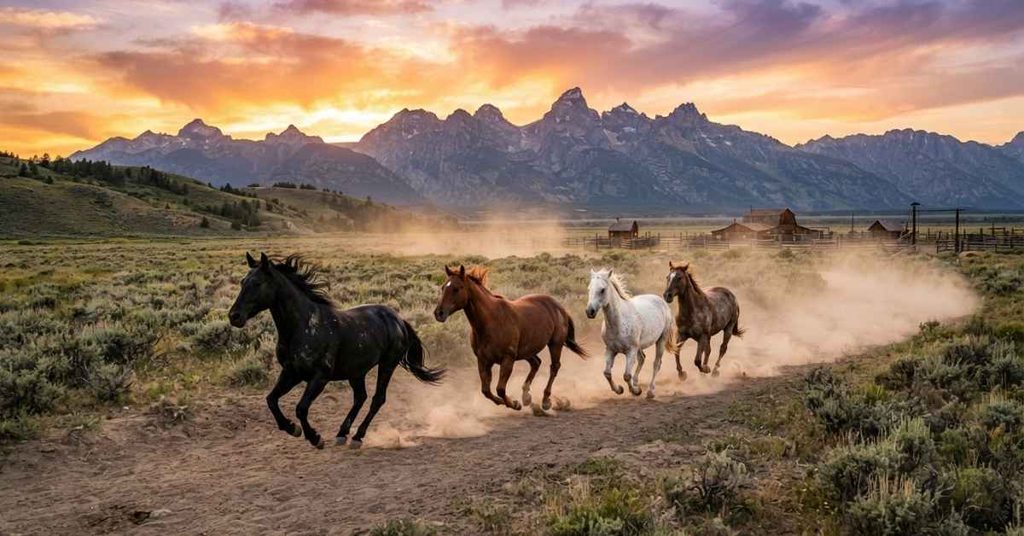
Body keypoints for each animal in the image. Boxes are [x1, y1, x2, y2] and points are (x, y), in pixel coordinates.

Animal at [228, 252, 445, 449]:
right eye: (242, 282)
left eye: (257, 283)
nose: (234, 316)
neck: (302, 327)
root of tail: (398, 319)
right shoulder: (291, 372)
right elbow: (271, 400)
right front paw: (291, 428)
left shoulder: (320, 377)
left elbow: (301, 408)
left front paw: (315, 438)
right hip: (356, 372)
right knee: (360, 397)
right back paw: (342, 433)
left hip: (387, 365)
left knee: (377, 399)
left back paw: (357, 437)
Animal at [433, 265, 588, 412]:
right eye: (443, 287)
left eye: (456, 288)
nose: (439, 313)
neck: (491, 321)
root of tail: (559, 306)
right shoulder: (483, 360)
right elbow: (486, 391)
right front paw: (514, 402)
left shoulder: (507, 359)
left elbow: (500, 389)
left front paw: (515, 404)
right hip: (527, 350)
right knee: (536, 363)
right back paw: (526, 397)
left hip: (555, 344)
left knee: (554, 367)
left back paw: (545, 401)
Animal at [585, 269, 678, 399]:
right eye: (589, 288)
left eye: (602, 290)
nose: (590, 311)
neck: (618, 323)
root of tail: (662, 301)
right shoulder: (610, 350)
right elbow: (607, 373)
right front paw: (619, 389)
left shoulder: (631, 351)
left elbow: (626, 375)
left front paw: (636, 391)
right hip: (639, 347)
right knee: (642, 359)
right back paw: (636, 383)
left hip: (661, 341)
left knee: (656, 364)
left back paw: (650, 391)